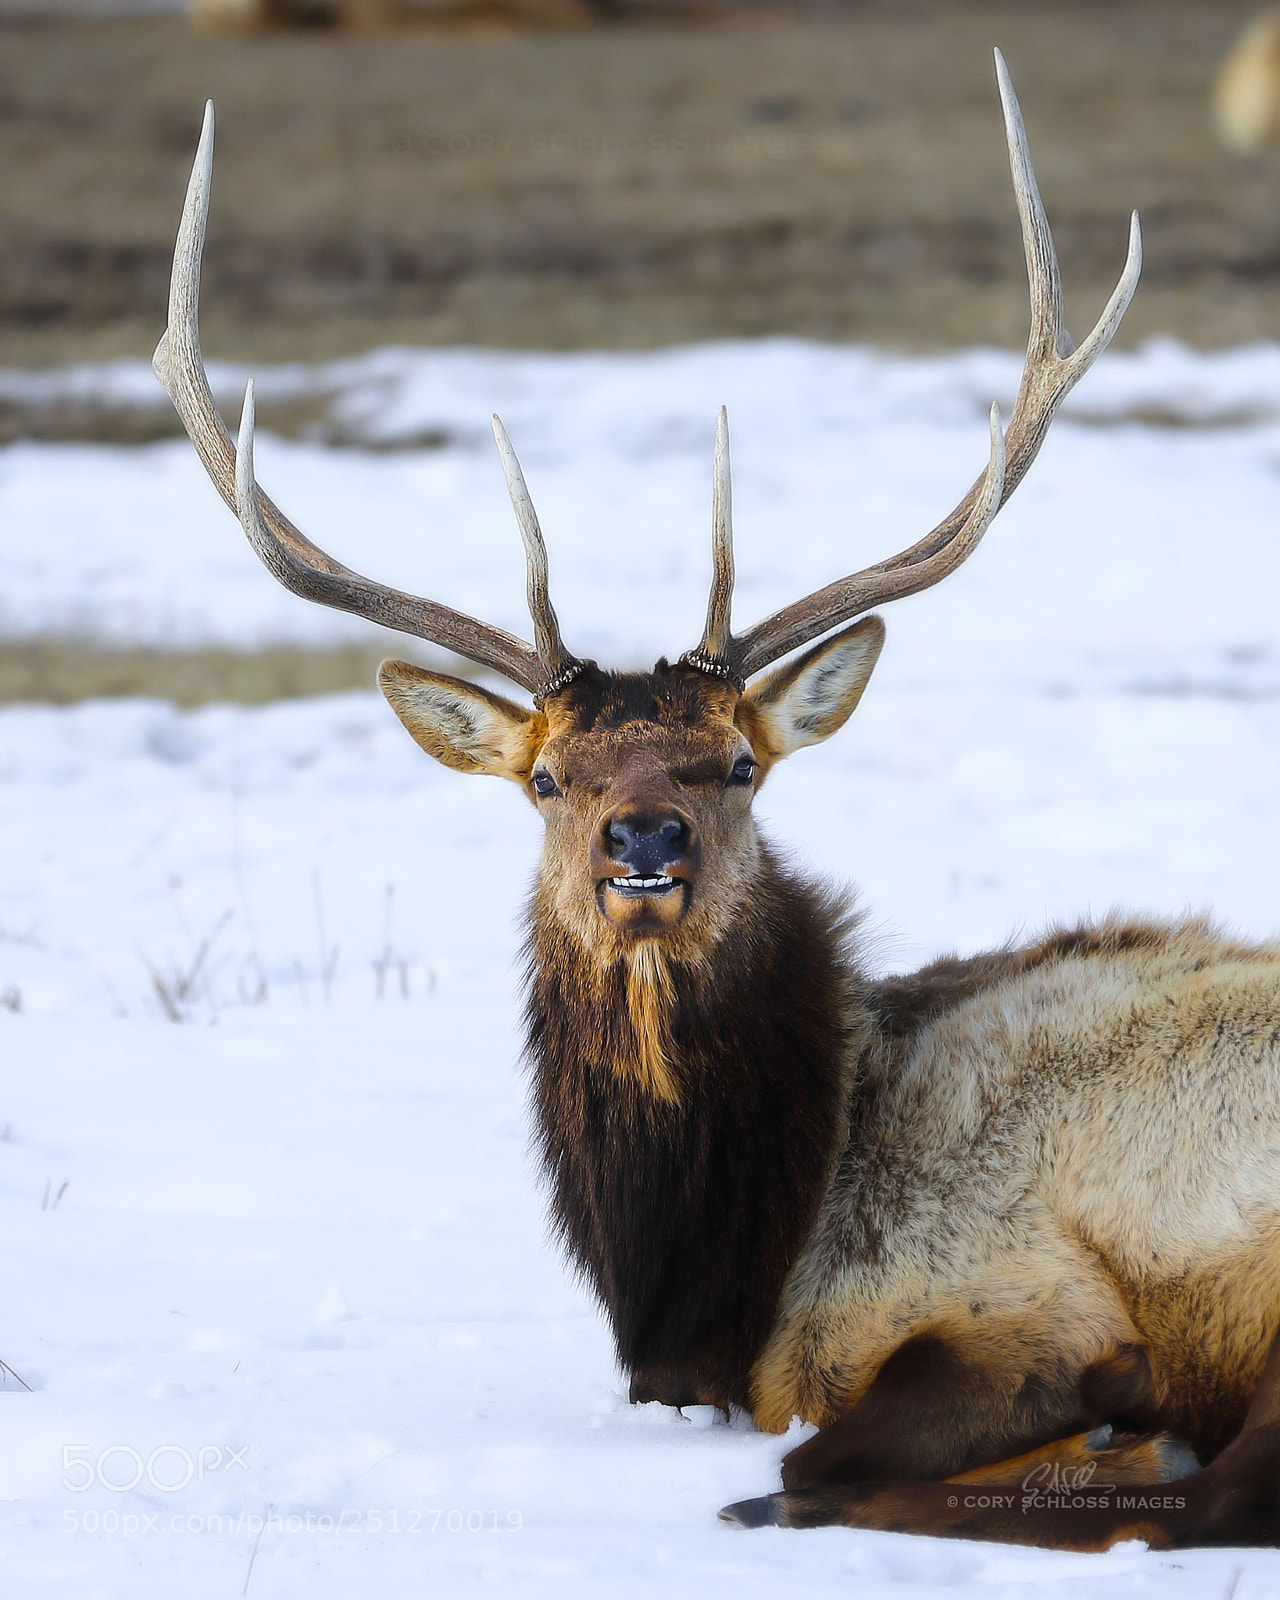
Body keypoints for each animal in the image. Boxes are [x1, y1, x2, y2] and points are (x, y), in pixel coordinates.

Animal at [152, 52, 1280, 1551]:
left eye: (738, 764)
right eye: (547, 778)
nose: (644, 840)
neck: (720, 1276)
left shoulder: (1022, 1298)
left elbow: (817, 1461)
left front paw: (1100, 1441)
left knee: (1207, 1492)